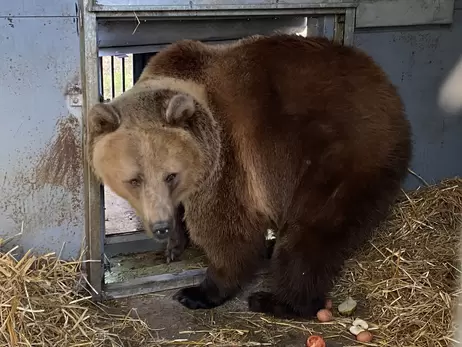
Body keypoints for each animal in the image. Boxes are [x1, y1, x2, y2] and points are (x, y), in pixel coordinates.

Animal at [86, 34, 412, 320]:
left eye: (170, 175)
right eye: (134, 180)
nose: (160, 227)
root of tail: (390, 93)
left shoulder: (228, 158)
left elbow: (227, 230)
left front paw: (198, 291)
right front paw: (173, 246)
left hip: (339, 157)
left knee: (311, 232)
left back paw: (277, 300)